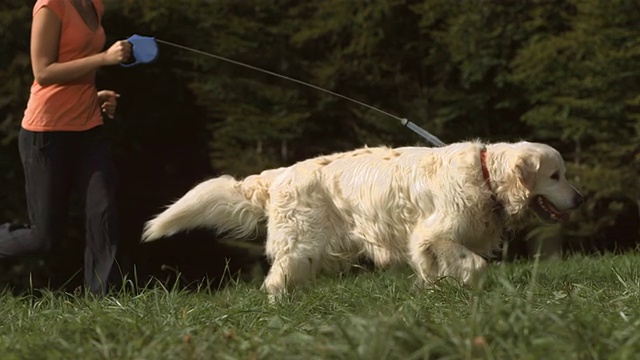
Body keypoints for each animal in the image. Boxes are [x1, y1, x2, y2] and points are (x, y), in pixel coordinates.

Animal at [142, 141, 584, 298]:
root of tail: (278, 174)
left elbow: (440, 268)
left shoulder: (434, 240)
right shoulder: (433, 232)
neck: (485, 175)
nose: (580, 198)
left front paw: (433, 290)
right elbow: (473, 264)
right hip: (302, 245)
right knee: (274, 281)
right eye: (555, 175)